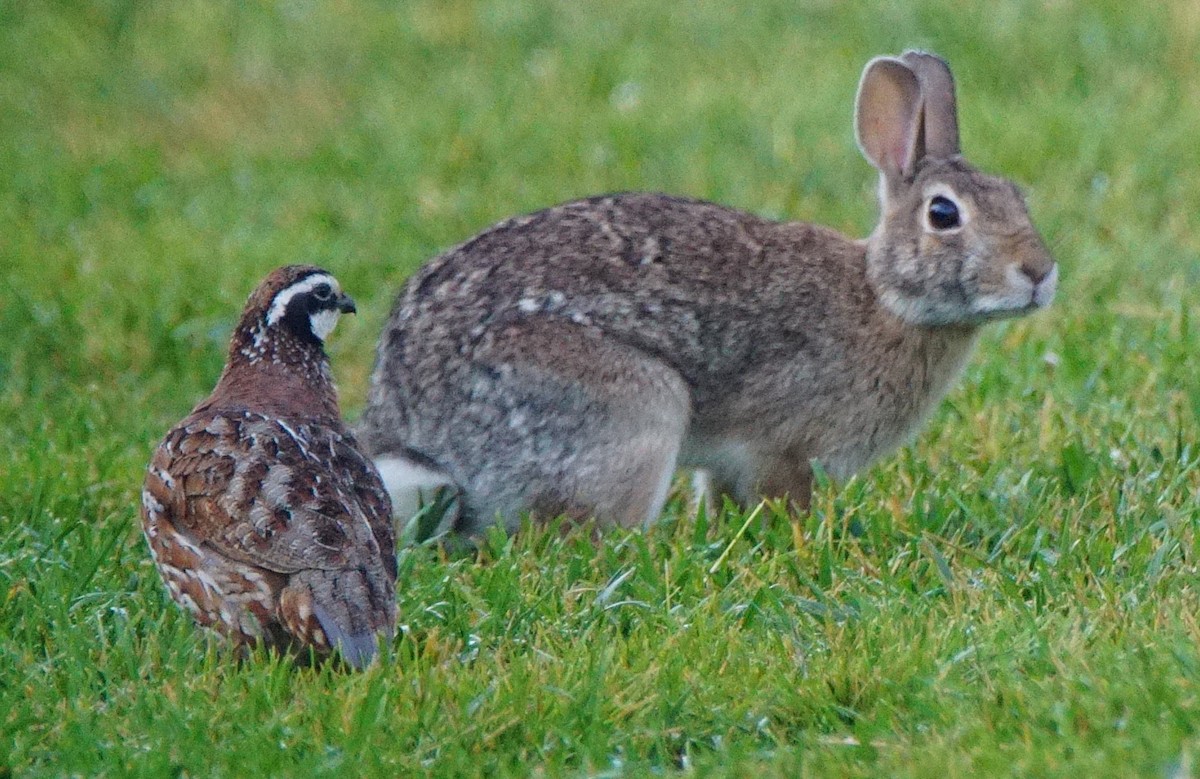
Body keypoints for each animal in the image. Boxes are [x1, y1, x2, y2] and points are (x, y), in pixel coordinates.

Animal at [357, 48, 1060, 535]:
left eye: (1018, 197)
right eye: (944, 215)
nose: (1040, 272)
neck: (885, 295)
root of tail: (416, 426)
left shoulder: (728, 462)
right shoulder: (779, 444)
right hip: (633, 410)